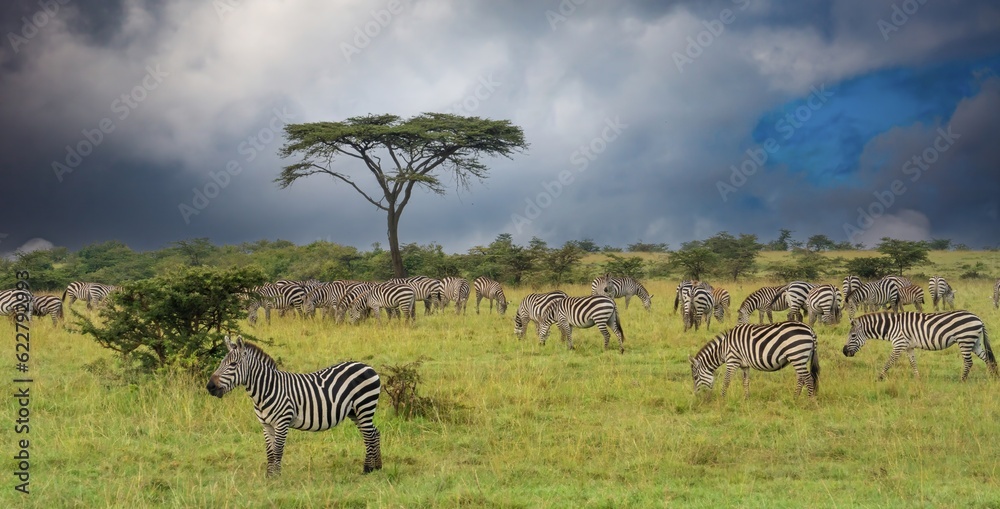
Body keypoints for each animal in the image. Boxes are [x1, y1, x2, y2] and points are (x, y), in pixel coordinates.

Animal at [206, 335, 382, 477]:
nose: (210, 387)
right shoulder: (266, 425)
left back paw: (367, 469)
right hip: (355, 412)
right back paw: (377, 466)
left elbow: (278, 450)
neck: (266, 389)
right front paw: (269, 476)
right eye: (221, 363)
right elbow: (269, 452)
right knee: (373, 433)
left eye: (233, 364)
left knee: (369, 435)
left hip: (364, 406)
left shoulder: (282, 422)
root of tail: (367, 366)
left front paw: (276, 477)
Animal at [689, 322, 819, 399]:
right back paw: (795, 398)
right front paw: (746, 398)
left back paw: (810, 401)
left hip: (797, 355)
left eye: (695, 377)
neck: (723, 348)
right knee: (801, 378)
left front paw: (722, 399)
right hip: (800, 358)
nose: (696, 396)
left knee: (808, 379)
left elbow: (726, 381)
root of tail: (810, 329)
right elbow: (745, 382)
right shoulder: (744, 365)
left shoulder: (732, 360)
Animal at [842, 311, 998, 381]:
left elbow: (889, 361)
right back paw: (993, 377)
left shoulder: (899, 344)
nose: (844, 352)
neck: (891, 326)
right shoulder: (908, 346)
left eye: (853, 336)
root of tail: (978, 318)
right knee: (987, 358)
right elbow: (913, 362)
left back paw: (962, 380)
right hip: (974, 342)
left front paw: (879, 377)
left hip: (965, 340)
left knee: (969, 362)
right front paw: (917, 379)